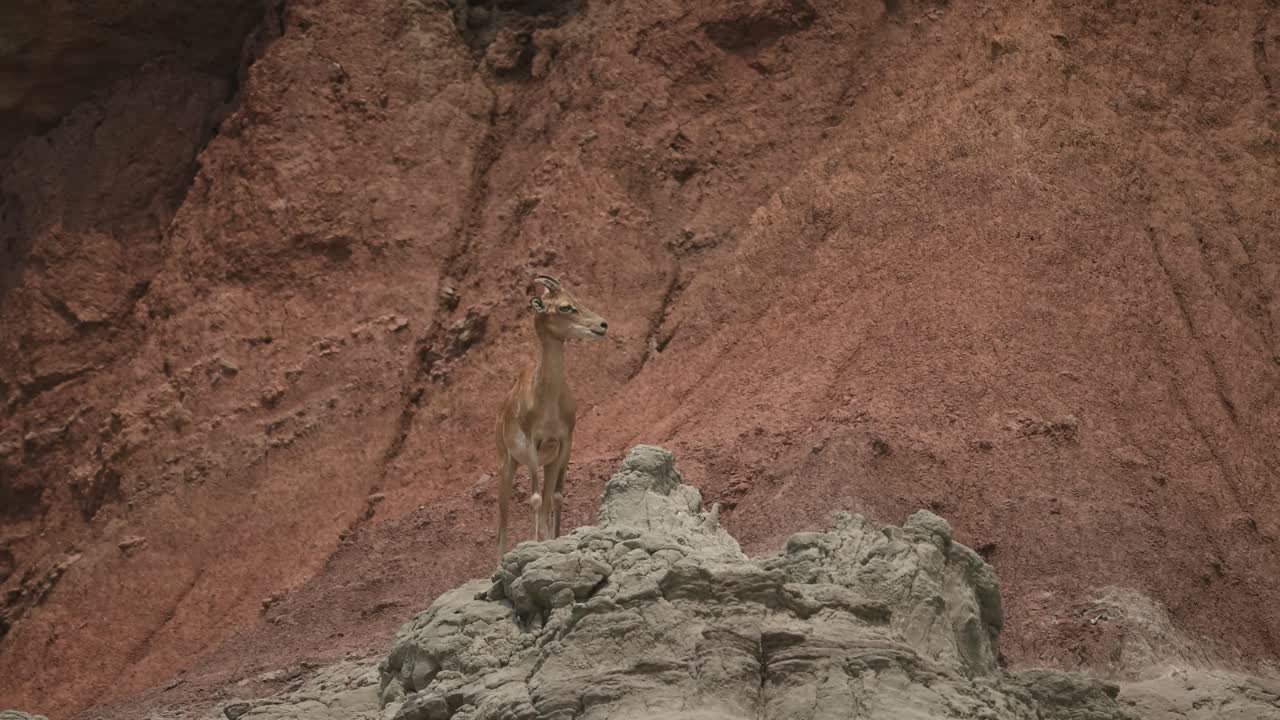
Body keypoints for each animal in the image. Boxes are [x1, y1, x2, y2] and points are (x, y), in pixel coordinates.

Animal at [495, 274, 608, 557]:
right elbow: (534, 499)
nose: (602, 324)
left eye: (576, 298)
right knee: (503, 522)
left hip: (547, 463)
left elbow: (556, 497)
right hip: (507, 464)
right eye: (565, 307)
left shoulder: (565, 443)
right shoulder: (533, 443)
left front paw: (553, 540)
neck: (546, 402)